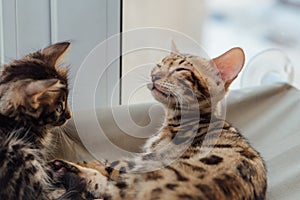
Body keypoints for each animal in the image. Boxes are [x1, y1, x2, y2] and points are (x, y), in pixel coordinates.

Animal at [51, 45, 268, 200]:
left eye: (180, 69)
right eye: (160, 64)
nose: (154, 75)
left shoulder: (145, 159)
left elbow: (107, 163)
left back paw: (65, 168)